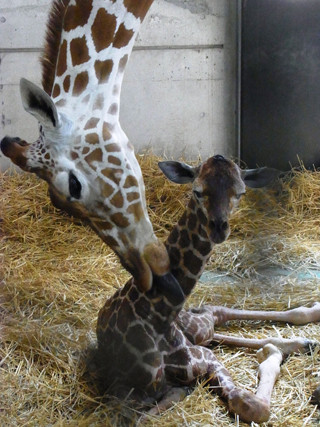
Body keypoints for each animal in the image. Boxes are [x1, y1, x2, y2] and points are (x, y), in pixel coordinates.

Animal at [94, 155, 318, 424]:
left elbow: (252, 406)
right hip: (198, 334)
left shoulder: (207, 360)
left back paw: (305, 329)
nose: (218, 228)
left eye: (240, 193)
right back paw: (298, 342)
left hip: (198, 330)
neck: (158, 316)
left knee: (214, 315)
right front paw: (272, 353)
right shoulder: (125, 394)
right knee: (214, 321)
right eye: (197, 190)